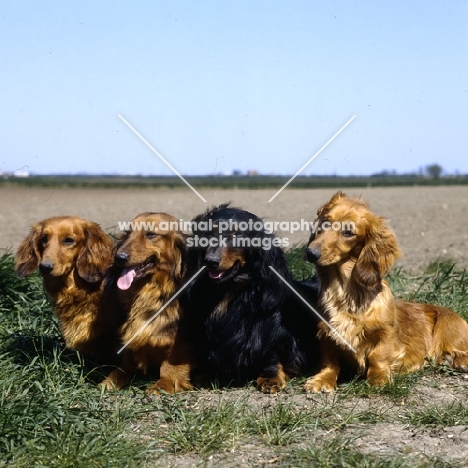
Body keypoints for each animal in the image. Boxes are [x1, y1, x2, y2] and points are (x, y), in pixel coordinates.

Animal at [186, 204, 318, 392]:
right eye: (209, 233)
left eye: (237, 235)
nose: (210, 261)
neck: (231, 291)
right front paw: (205, 375)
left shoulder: (271, 332)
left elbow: (271, 353)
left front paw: (270, 376)